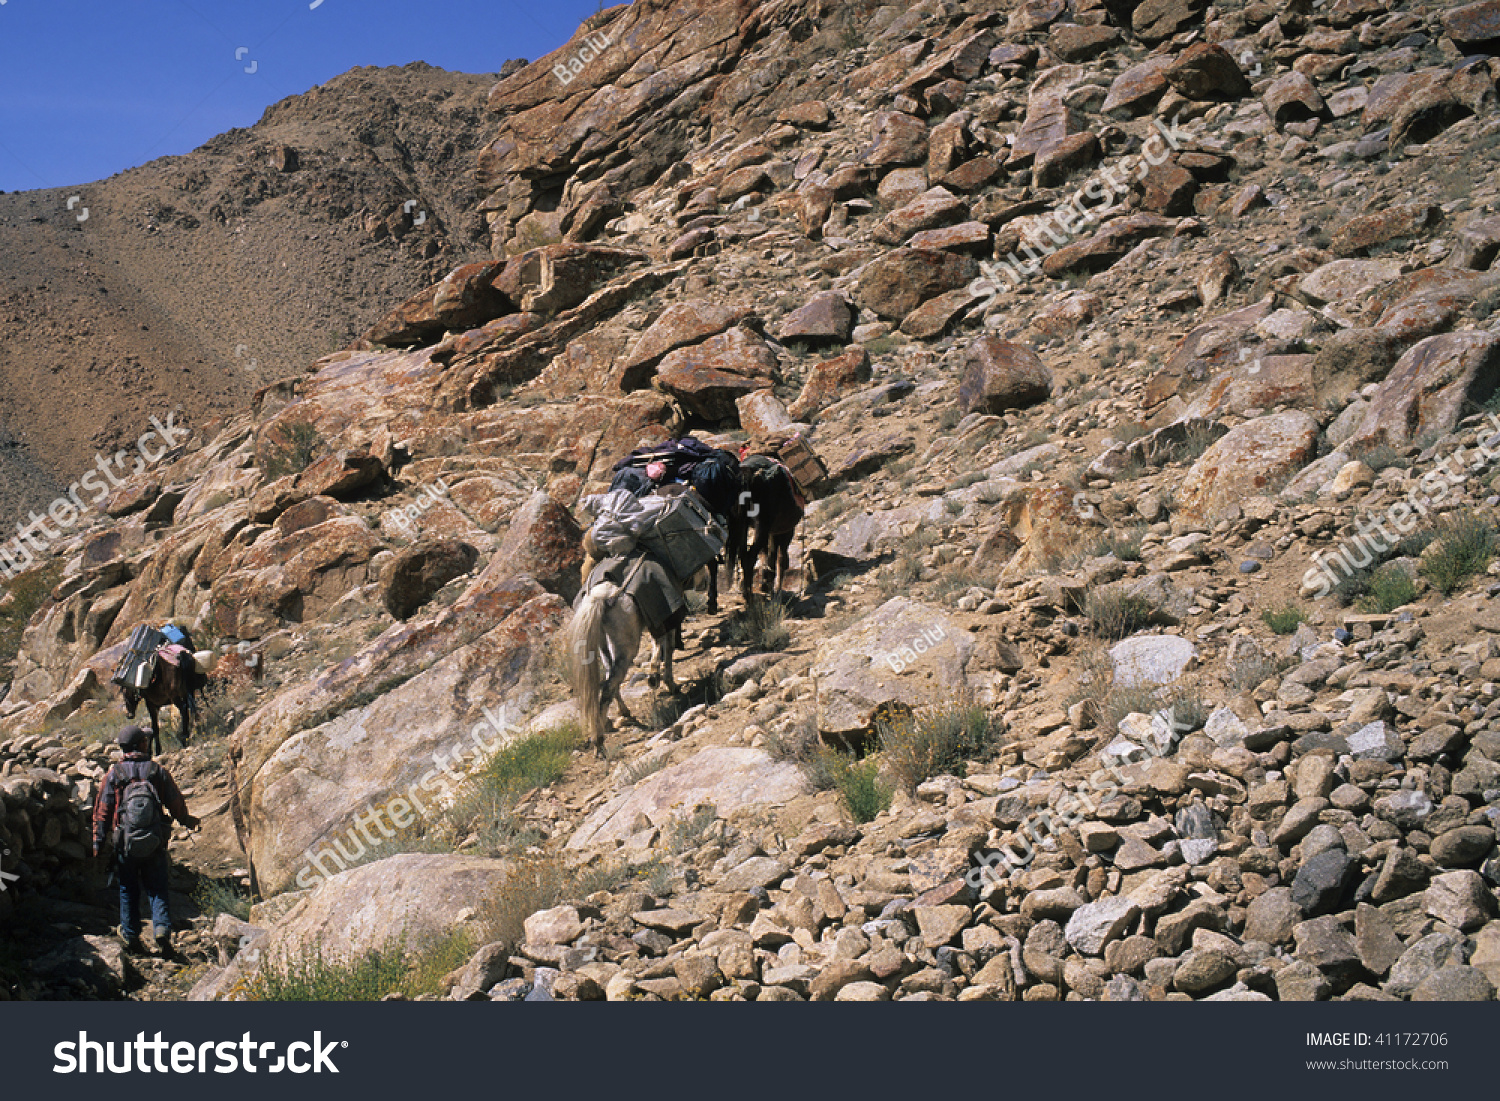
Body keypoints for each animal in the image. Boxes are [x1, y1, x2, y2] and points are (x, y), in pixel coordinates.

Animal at [564, 570, 681, 759]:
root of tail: (602, 595)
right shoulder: (667, 617)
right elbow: (667, 646)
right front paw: (667, 682)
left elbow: (659, 644)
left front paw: (655, 676)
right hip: (626, 647)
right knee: (609, 686)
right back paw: (598, 741)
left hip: (605, 644)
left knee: (610, 678)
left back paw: (618, 715)